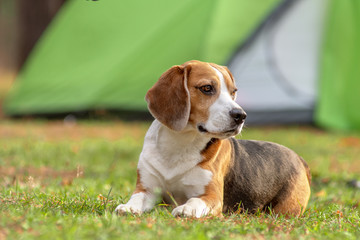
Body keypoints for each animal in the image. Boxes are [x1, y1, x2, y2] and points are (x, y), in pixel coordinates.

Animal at [115, 59, 310, 218]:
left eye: (233, 92)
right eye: (207, 88)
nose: (241, 115)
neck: (180, 144)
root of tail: (299, 158)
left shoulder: (212, 197)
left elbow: (194, 201)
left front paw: (185, 209)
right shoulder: (146, 188)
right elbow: (137, 198)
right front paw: (128, 207)